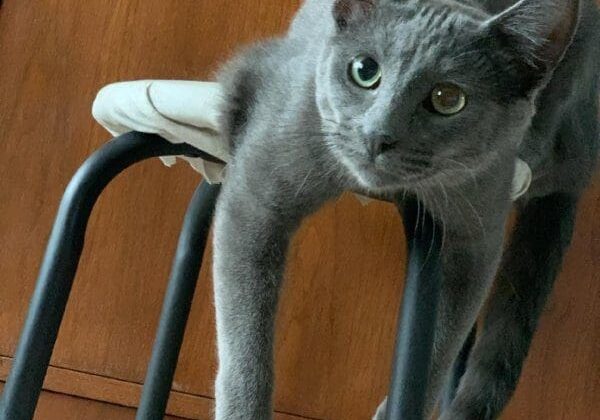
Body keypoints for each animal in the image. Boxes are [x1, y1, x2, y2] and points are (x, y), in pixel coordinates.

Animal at [211, 0, 600, 418]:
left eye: (449, 98)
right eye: (364, 70)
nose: (378, 135)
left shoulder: (476, 233)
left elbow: (440, 347)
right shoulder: (257, 194)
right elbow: (246, 337)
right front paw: (242, 409)